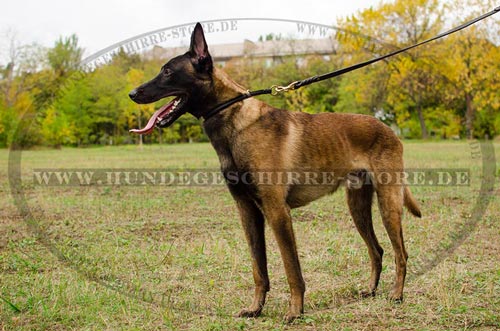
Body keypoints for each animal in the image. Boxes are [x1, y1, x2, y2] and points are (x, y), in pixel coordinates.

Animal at [130, 22, 422, 322]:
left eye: (167, 71)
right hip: (358, 208)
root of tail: (389, 129)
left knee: (401, 253)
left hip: (388, 204)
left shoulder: (277, 211)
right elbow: (259, 269)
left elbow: (292, 268)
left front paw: (295, 310)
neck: (234, 121)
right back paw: (371, 290)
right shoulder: (248, 212)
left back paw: (396, 294)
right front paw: (256, 308)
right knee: (377, 250)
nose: (133, 93)